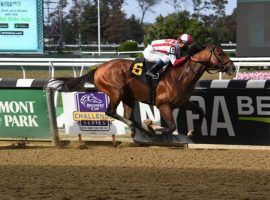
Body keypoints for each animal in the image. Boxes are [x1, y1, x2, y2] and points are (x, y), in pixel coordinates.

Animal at [49, 43, 235, 138]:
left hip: (128, 97)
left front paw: (191, 132)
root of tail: (98, 68)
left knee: (127, 115)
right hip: (116, 91)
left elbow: (201, 111)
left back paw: (140, 129)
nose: (232, 67)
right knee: (111, 112)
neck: (180, 76)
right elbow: (170, 126)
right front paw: (154, 126)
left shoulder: (182, 102)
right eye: (220, 53)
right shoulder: (163, 105)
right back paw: (141, 128)